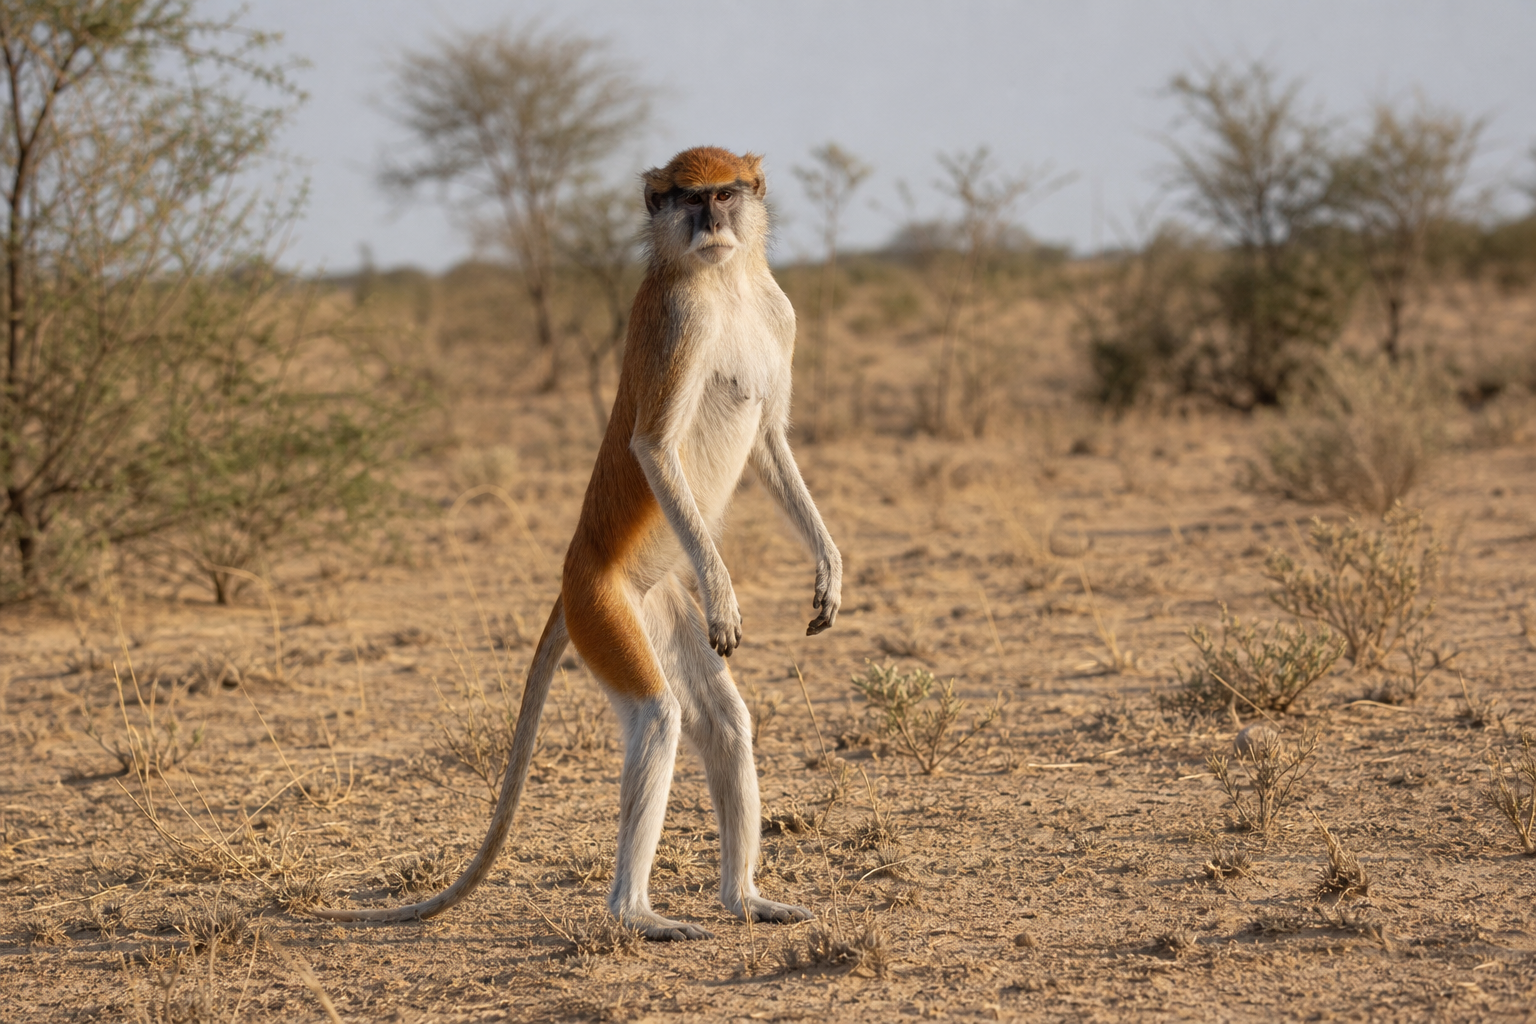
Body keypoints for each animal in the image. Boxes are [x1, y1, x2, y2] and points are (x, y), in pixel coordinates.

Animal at [314, 147, 842, 940]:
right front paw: (724, 591)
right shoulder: (678, 323)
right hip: (606, 611)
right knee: (658, 717)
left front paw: (828, 568)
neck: (724, 279)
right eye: (690, 199)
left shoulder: (779, 314)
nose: (712, 223)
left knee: (723, 722)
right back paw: (636, 915)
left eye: (726, 194)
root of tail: (571, 581)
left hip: (655, 603)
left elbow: (772, 439)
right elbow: (653, 447)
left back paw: (743, 899)